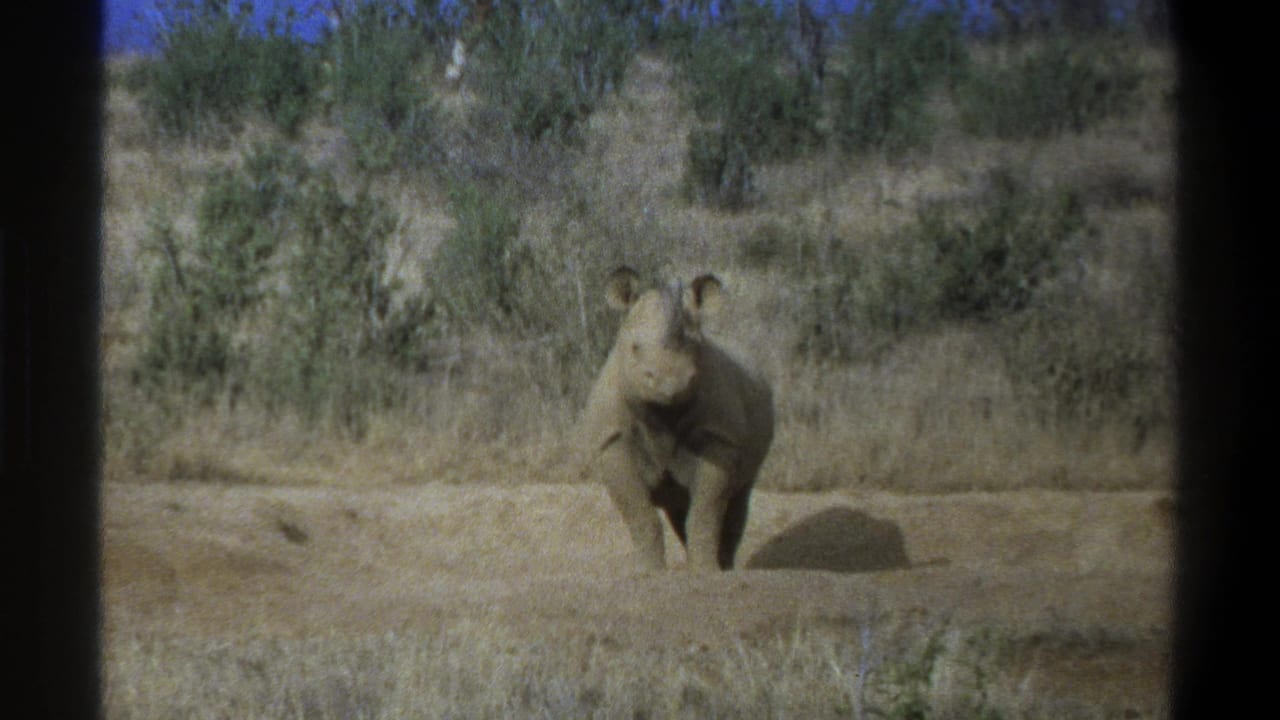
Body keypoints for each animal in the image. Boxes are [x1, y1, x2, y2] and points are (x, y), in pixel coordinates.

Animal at [579, 267, 774, 571]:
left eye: (696, 345)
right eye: (634, 348)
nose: (671, 383)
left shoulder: (720, 436)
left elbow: (706, 512)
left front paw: (705, 571)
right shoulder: (611, 440)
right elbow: (640, 514)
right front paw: (649, 572)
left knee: (737, 499)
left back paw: (725, 568)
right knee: (679, 508)